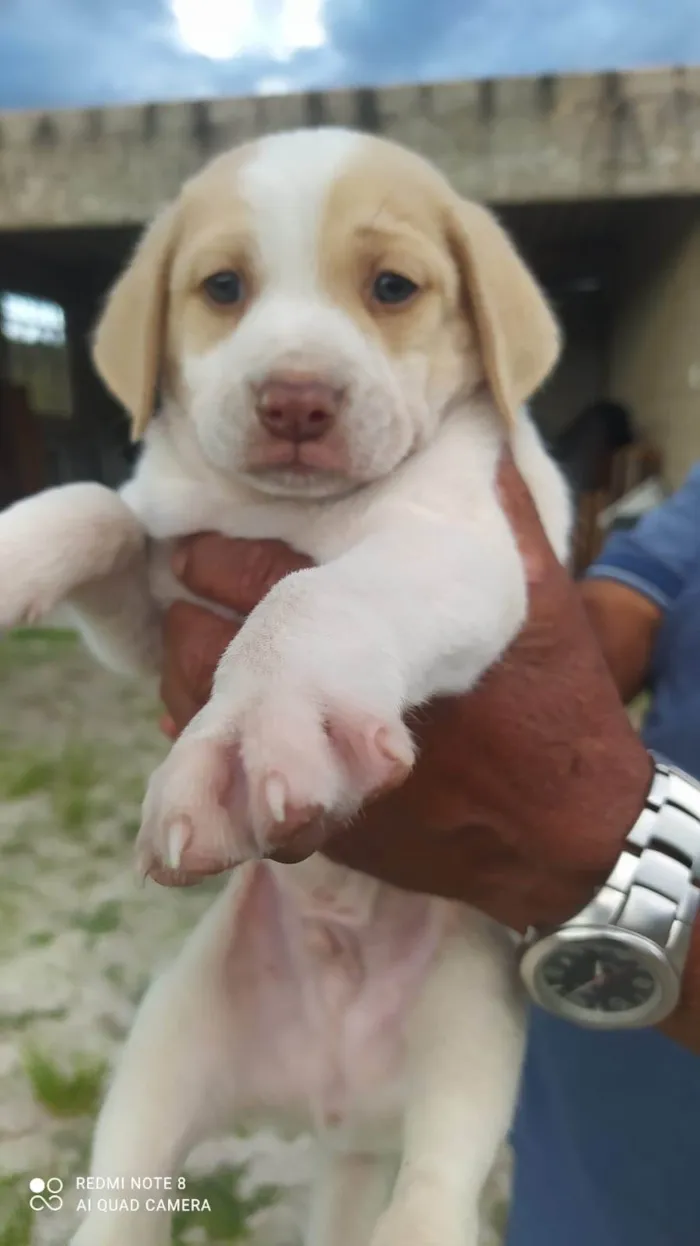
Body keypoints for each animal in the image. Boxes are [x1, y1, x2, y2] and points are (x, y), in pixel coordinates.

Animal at [0, 128, 570, 1246]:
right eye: (223, 287)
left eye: (392, 288)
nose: (295, 399)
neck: (289, 510)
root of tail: (332, 1096)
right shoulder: (155, 612)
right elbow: (100, 505)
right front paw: (13, 552)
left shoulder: (460, 549)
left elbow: (307, 596)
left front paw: (261, 723)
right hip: (172, 1039)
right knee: (126, 1190)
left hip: (470, 1019)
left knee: (435, 1181)